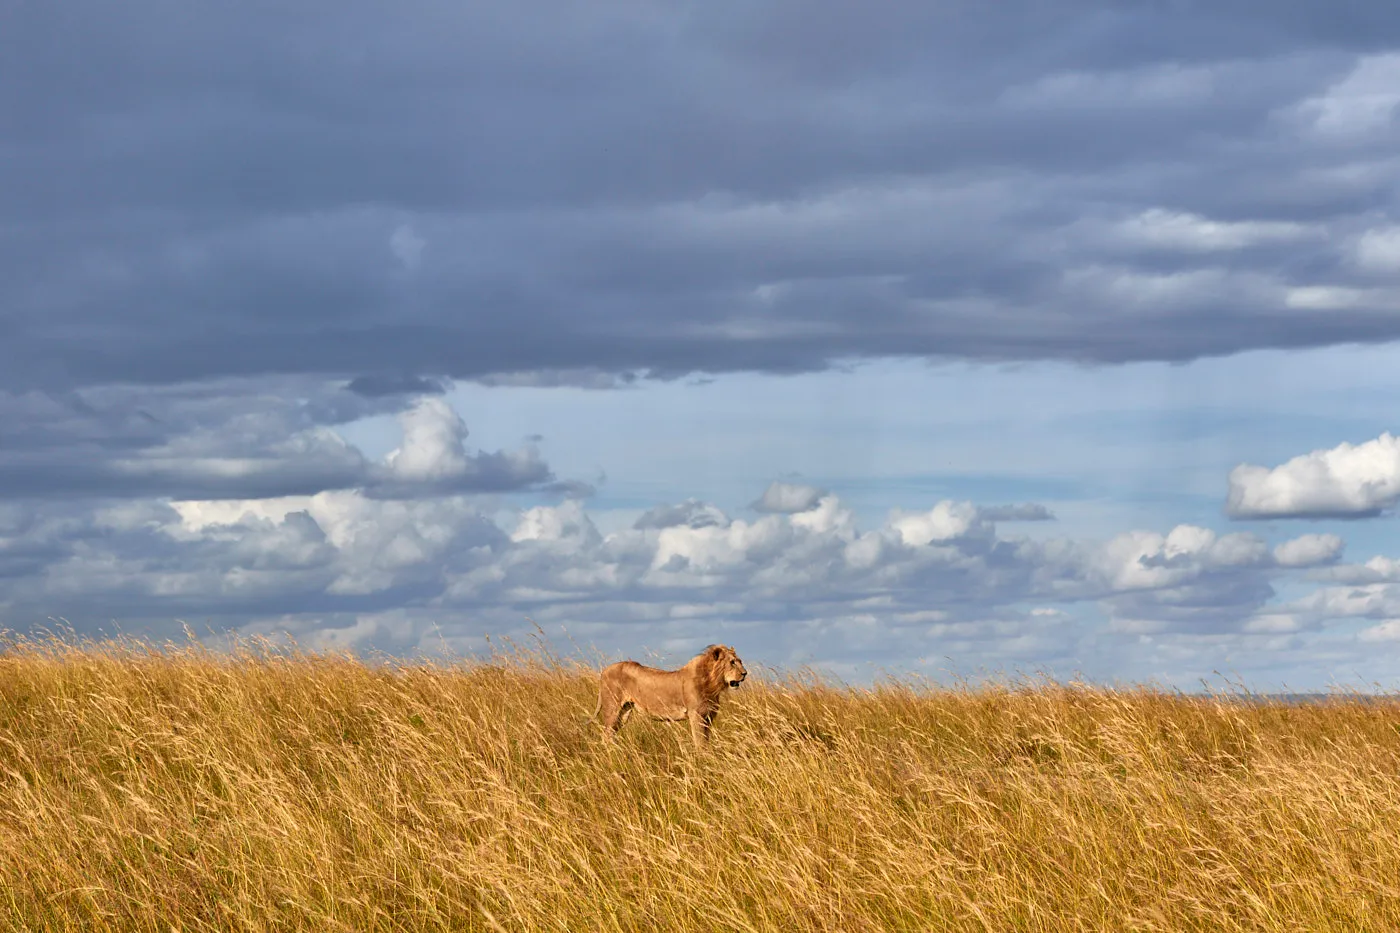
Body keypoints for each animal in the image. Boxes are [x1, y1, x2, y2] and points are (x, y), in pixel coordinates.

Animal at [587, 644, 748, 746]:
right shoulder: (696, 715)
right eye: (732, 662)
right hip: (612, 708)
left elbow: (705, 741)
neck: (712, 683)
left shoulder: (708, 716)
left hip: (624, 711)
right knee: (606, 734)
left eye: (740, 661)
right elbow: (700, 743)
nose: (745, 673)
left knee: (611, 734)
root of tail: (604, 671)